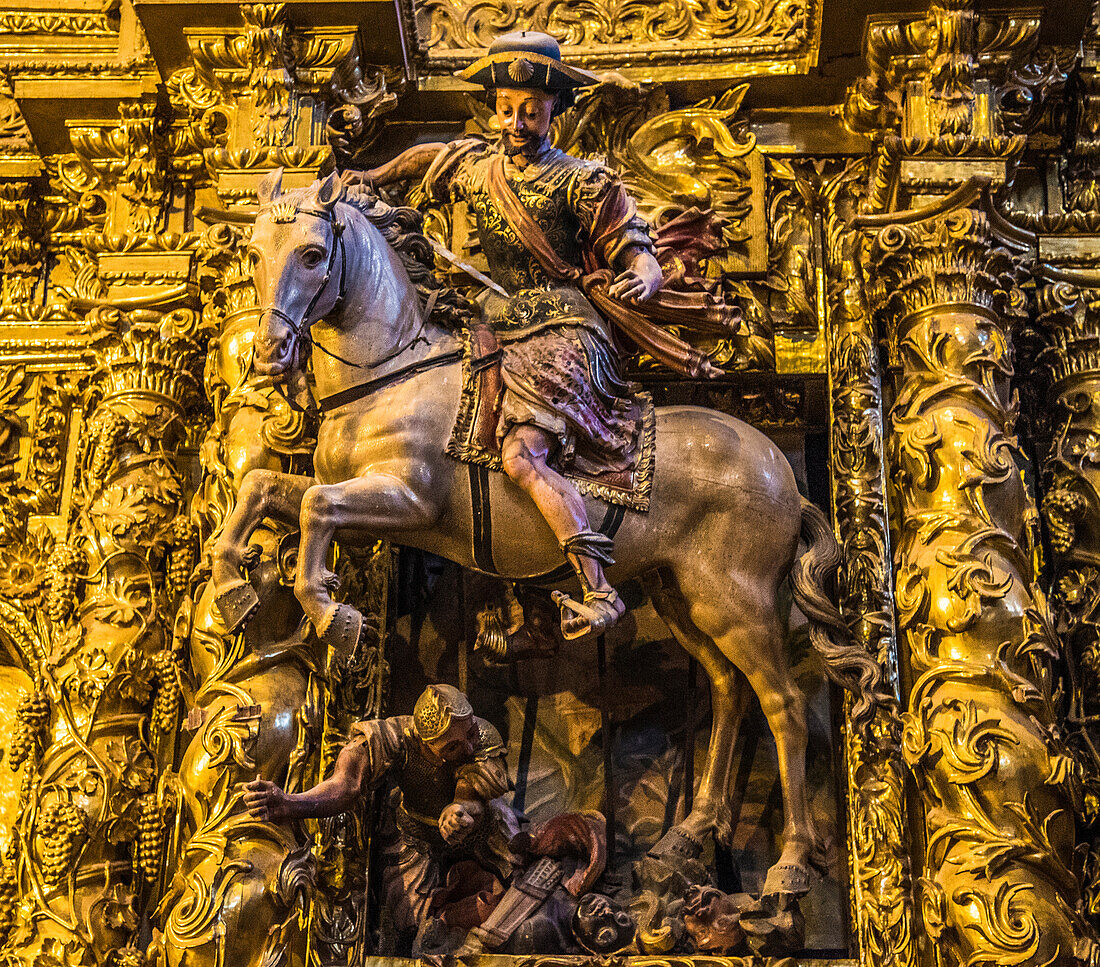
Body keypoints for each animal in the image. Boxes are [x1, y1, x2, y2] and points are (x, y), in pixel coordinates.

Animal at [210, 168, 888, 902]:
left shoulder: (408, 501)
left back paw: (788, 864)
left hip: (737, 599)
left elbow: (315, 509)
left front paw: (331, 612)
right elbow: (262, 491)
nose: (271, 353)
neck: (392, 375)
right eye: (255, 254)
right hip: (682, 595)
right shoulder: (352, 493)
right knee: (729, 692)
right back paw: (685, 836)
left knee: (784, 704)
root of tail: (785, 477)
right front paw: (232, 587)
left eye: (312, 255)